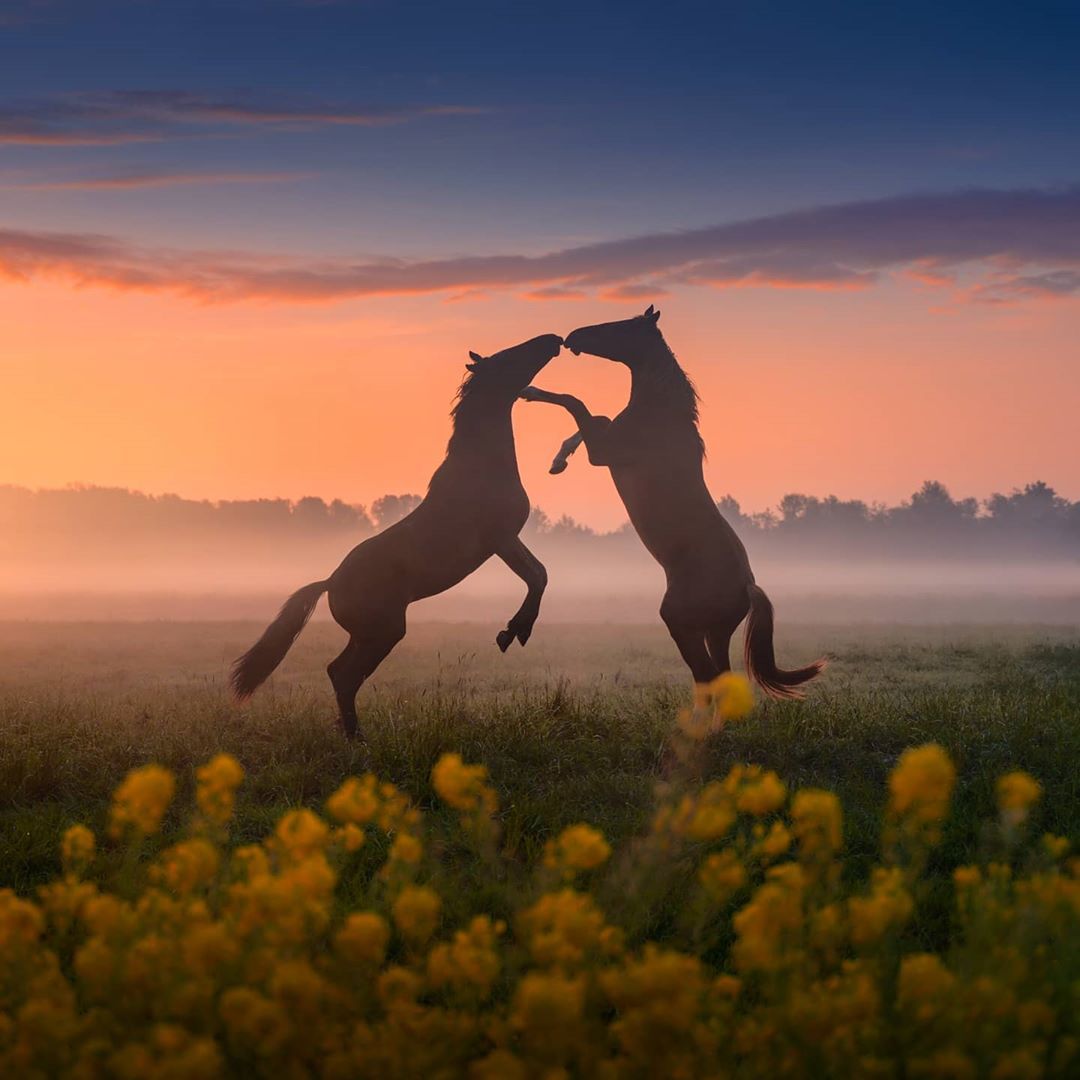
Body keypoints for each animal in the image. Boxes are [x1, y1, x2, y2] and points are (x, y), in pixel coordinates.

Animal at [230, 334, 565, 743]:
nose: (552, 340)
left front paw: (514, 631)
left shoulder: (508, 540)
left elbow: (540, 574)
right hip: (384, 632)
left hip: (367, 635)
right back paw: (358, 739)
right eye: (507, 358)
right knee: (344, 675)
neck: (483, 467)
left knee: (336, 671)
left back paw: (351, 732)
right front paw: (515, 631)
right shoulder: (500, 539)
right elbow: (536, 576)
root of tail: (330, 582)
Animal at [518, 311, 820, 699]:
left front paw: (529, 392)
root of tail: (746, 588)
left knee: (706, 675)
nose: (571, 338)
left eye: (621, 326)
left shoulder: (603, 452)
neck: (660, 416)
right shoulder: (604, 441)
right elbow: (591, 418)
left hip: (681, 623)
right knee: (720, 678)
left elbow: (578, 404)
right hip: (714, 632)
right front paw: (558, 461)